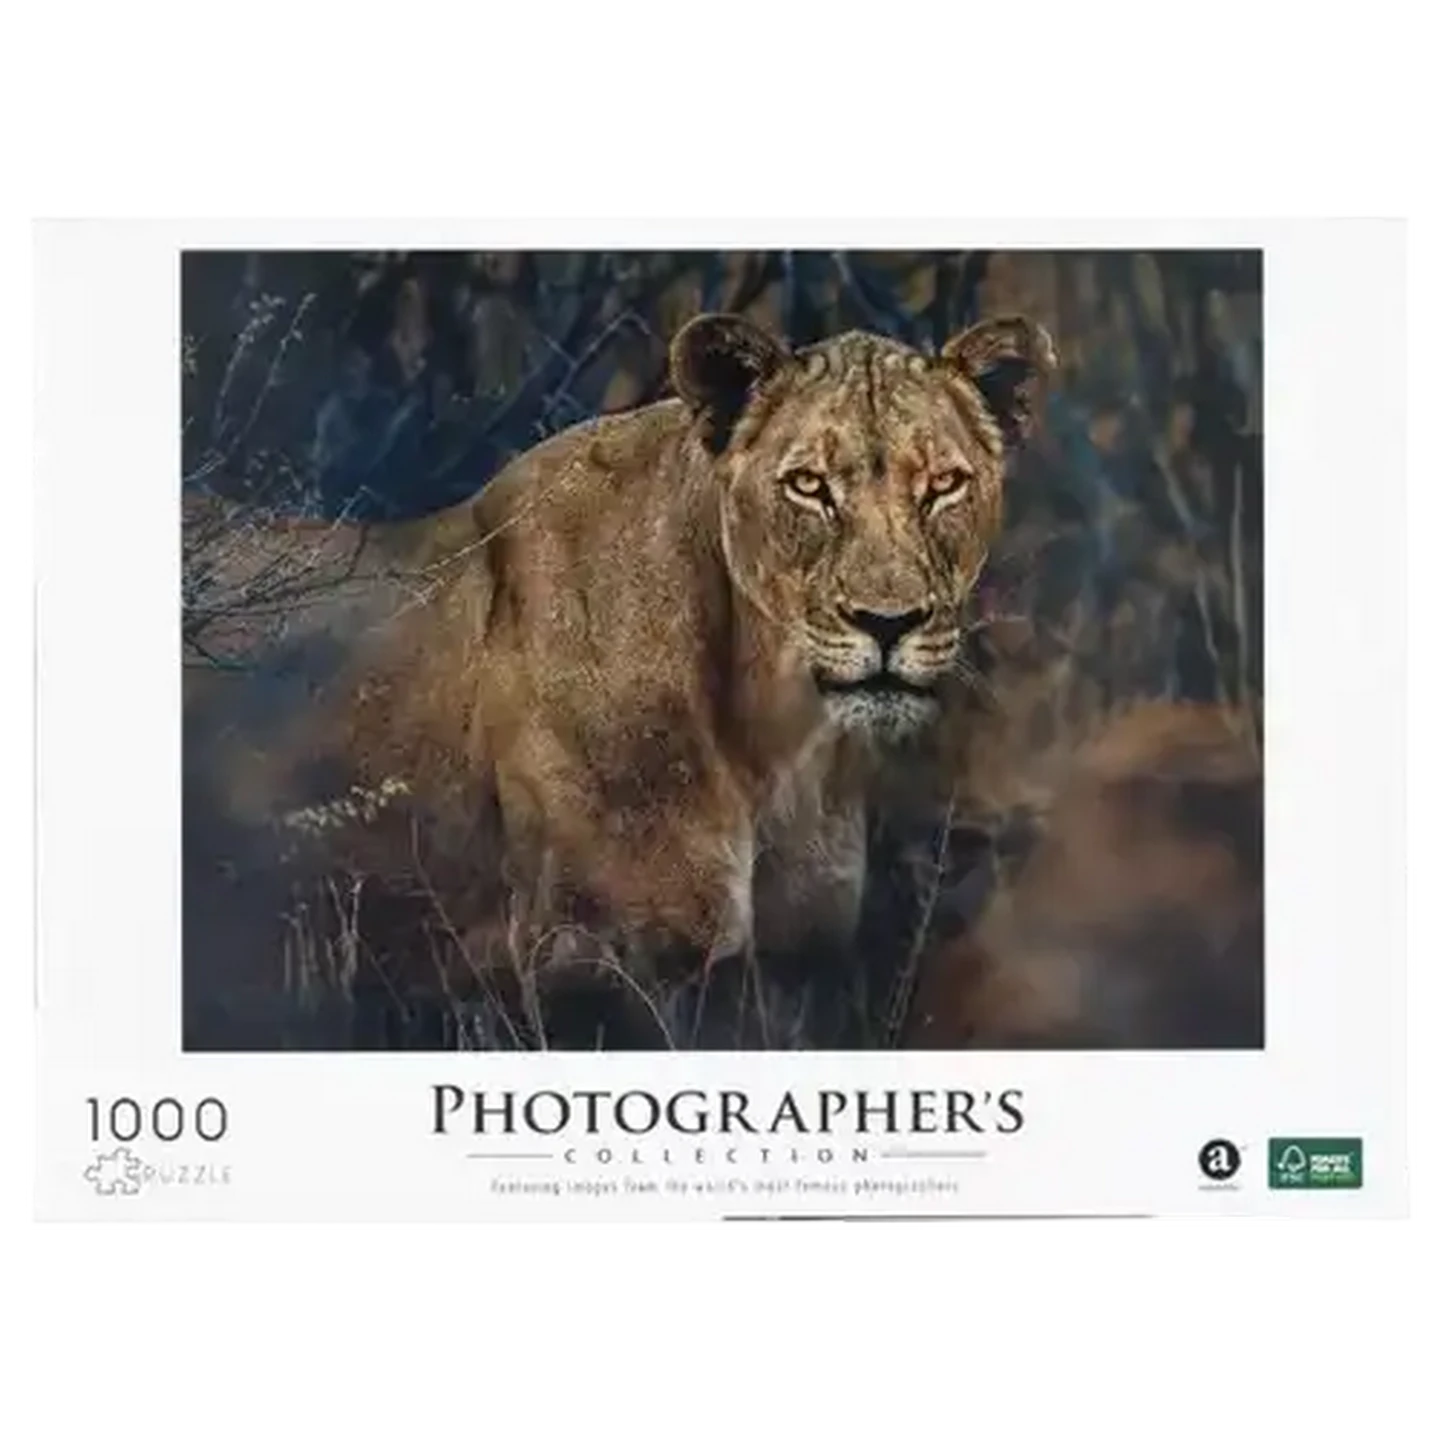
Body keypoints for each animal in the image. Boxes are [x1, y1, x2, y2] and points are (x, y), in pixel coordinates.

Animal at [205, 311, 1057, 1042]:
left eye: (943, 484)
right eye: (809, 485)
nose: (888, 623)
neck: (775, 739)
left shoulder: (788, 976)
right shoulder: (590, 963)